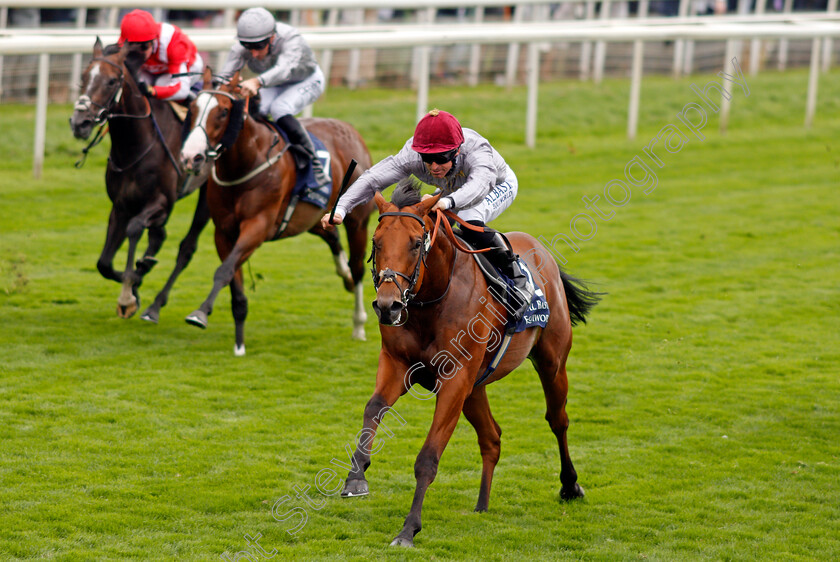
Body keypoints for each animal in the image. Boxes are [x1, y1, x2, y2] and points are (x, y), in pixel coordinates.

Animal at [70, 37, 212, 322]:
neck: (135, 145)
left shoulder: (161, 201)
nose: (79, 123)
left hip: (209, 195)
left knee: (186, 247)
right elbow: (103, 263)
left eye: (112, 81)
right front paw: (134, 287)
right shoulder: (120, 205)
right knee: (160, 235)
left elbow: (135, 229)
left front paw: (128, 295)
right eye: (84, 77)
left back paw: (154, 302)